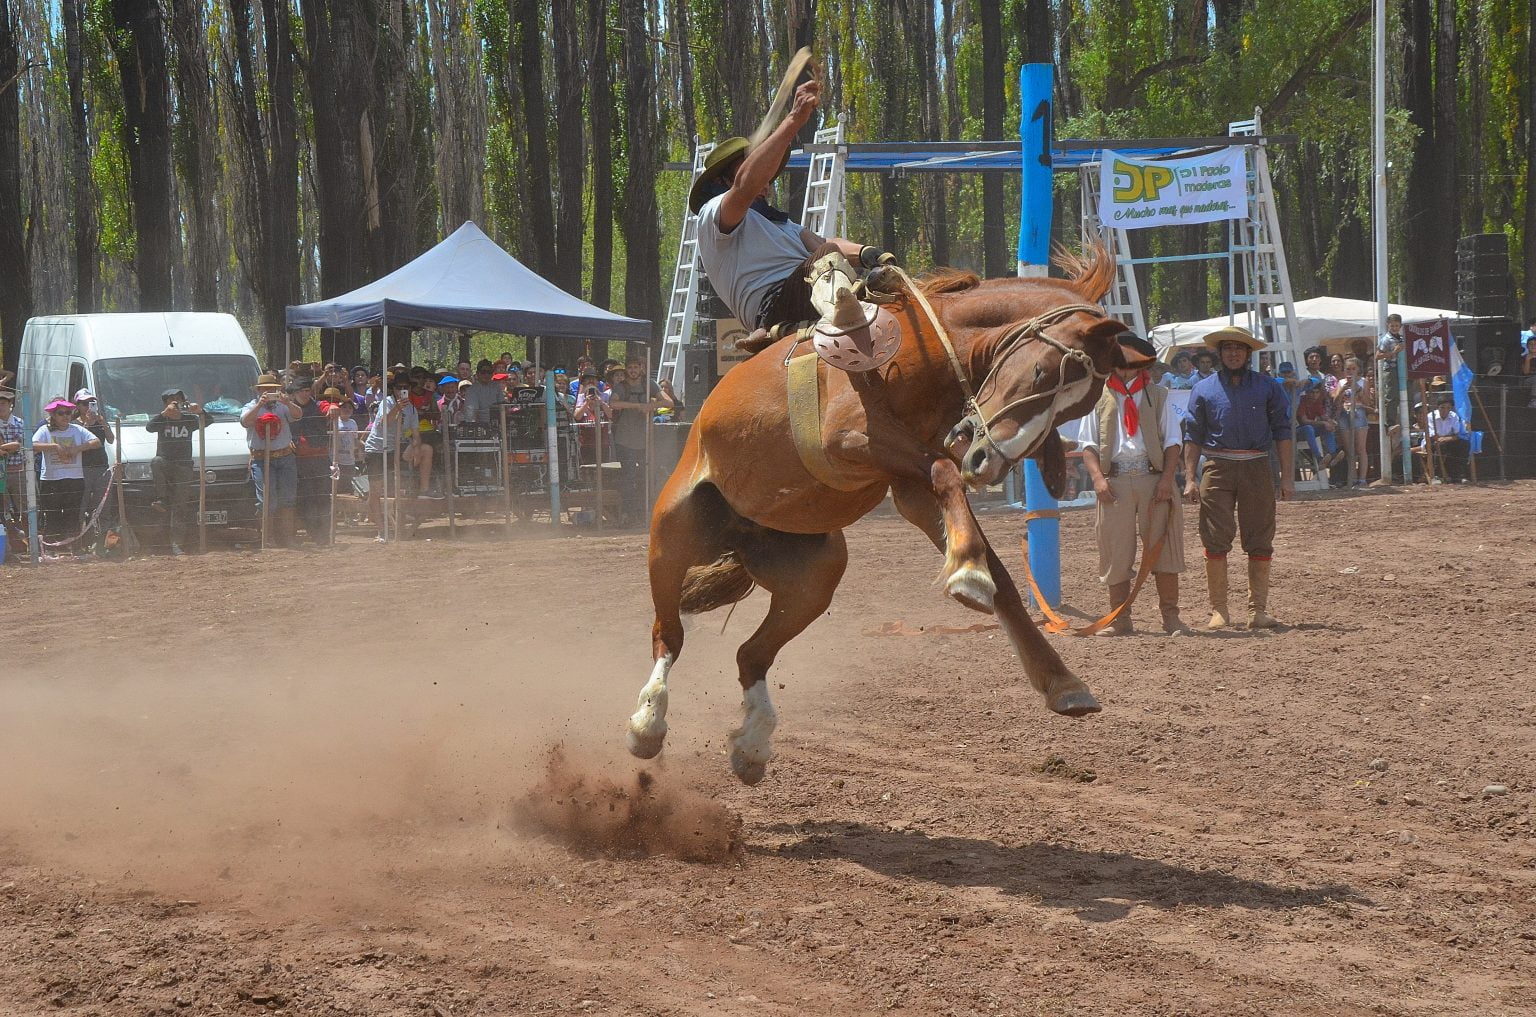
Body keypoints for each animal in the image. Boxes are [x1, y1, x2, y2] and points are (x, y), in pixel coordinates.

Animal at [626, 248, 1130, 786]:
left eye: (1075, 408)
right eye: (1040, 372)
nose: (987, 460)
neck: (928, 346)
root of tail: (742, 537)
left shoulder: (910, 486)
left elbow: (994, 567)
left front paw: (1061, 680)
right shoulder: (849, 438)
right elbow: (945, 473)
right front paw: (968, 577)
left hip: (816, 578)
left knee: (750, 654)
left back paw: (752, 743)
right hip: (673, 537)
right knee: (668, 635)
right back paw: (648, 723)